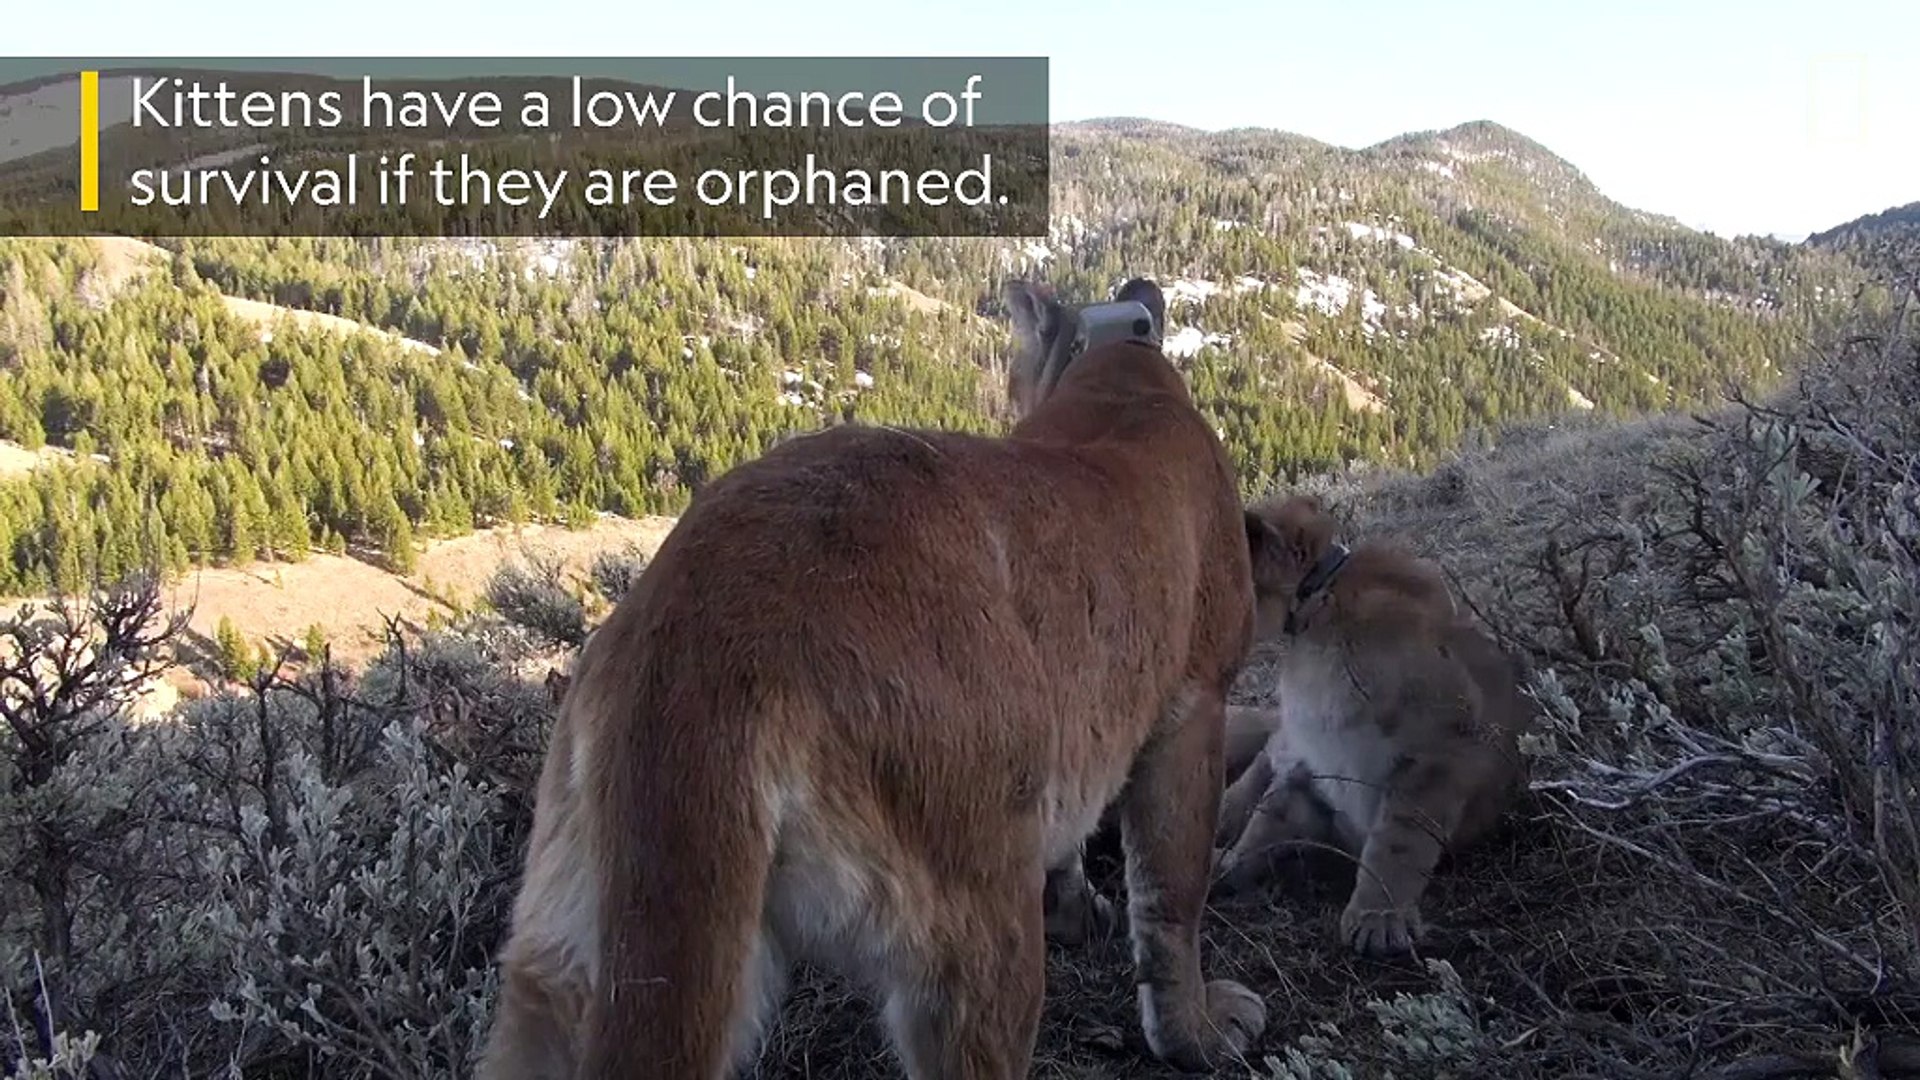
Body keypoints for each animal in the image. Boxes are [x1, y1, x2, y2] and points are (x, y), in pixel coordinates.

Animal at [478, 277, 1269, 1079]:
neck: (1117, 371)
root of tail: (692, 642)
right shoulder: (1198, 701)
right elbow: (1174, 892)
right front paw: (1199, 1032)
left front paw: (1082, 912)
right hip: (972, 923)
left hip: (558, 956)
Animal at [1211, 494, 1534, 958]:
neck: (1315, 615)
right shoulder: (1313, 760)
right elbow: (1266, 820)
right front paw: (1226, 868)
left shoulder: (1439, 748)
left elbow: (1399, 837)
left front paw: (1378, 916)